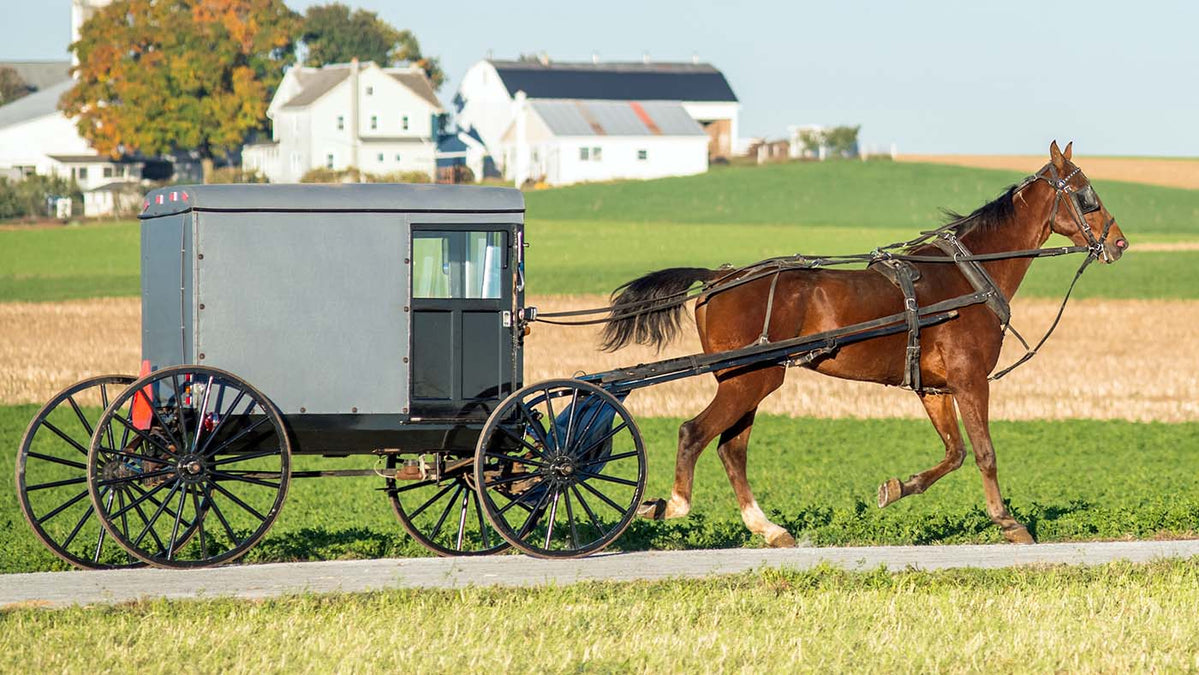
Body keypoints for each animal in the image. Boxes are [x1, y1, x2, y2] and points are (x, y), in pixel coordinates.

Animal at [604, 140, 1127, 546]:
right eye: (1087, 195)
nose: (1119, 243)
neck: (968, 275)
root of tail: (721, 276)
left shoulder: (934, 389)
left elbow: (954, 453)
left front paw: (896, 488)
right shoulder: (970, 379)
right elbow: (984, 452)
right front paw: (1008, 521)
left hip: (751, 380)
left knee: (732, 449)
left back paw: (769, 528)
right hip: (750, 378)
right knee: (695, 433)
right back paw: (671, 505)